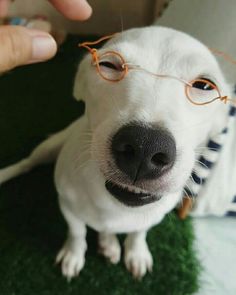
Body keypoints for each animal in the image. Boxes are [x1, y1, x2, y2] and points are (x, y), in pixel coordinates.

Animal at [0, 25, 231, 280]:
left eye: (205, 85)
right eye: (108, 65)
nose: (145, 146)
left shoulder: (152, 216)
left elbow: (139, 232)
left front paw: (136, 252)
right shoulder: (68, 207)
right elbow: (77, 232)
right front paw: (73, 254)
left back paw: (108, 243)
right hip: (49, 148)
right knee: (27, 163)